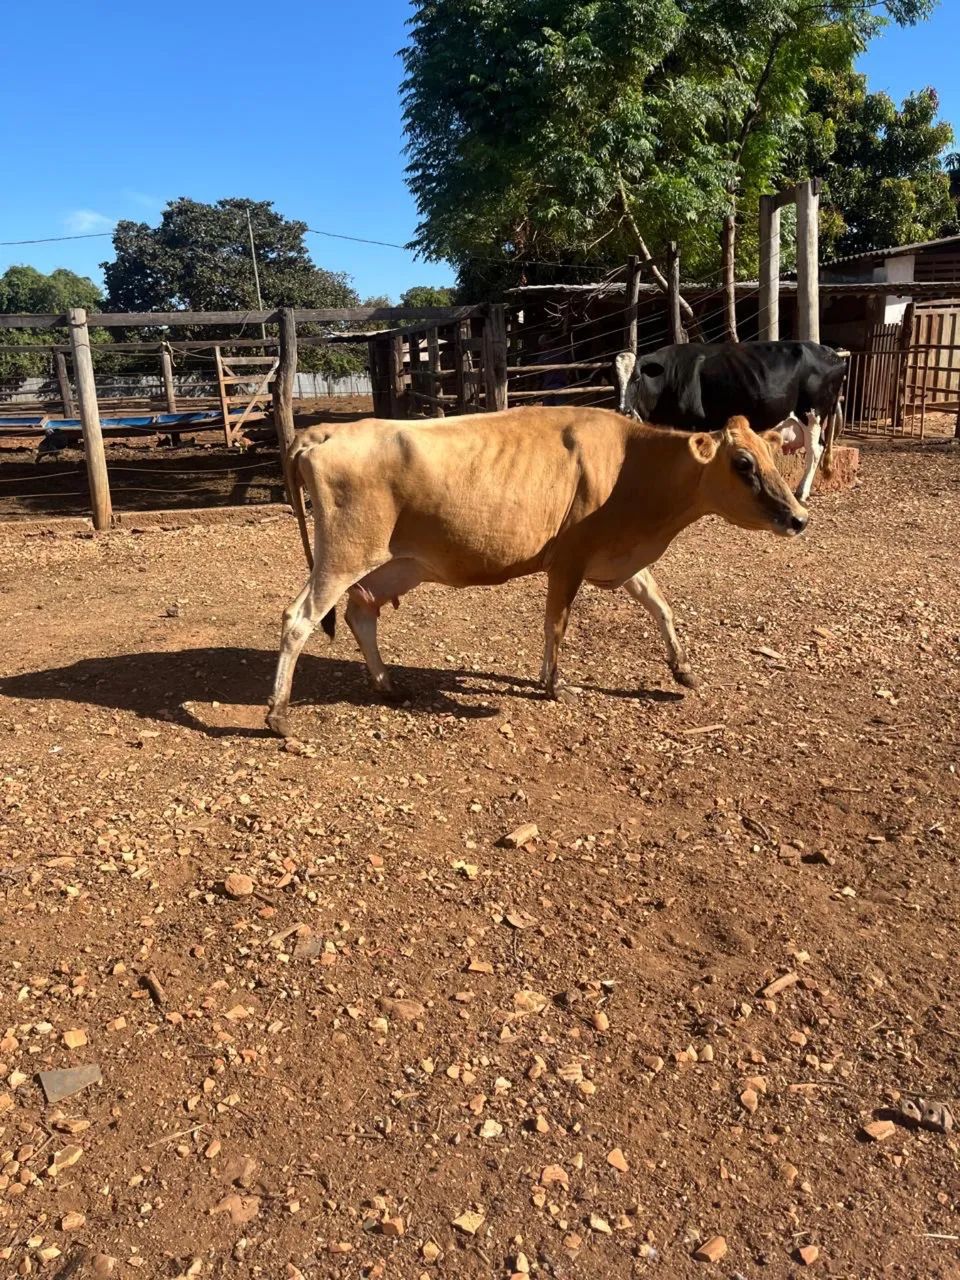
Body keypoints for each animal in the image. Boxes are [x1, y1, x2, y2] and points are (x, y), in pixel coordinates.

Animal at [265, 407, 808, 737]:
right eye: (743, 463)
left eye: (773, 455)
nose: (799, 518)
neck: (634, 466)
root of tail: (325, 431)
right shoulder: (569, 557)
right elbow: (557, 625)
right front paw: (554, 684)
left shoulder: (620, 558)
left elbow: (661, 607)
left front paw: (683, 668)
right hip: (343, 553)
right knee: (299, 618)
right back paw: (278, 713)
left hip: (399, 563)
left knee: (361, 611)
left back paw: (388, 685)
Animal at [613, 341, 847, 502]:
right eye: (615, 381)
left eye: (636, 378)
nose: (623, 410)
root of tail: (833, 354)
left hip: (812, 415)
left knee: (815, 450)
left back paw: (801, 492)